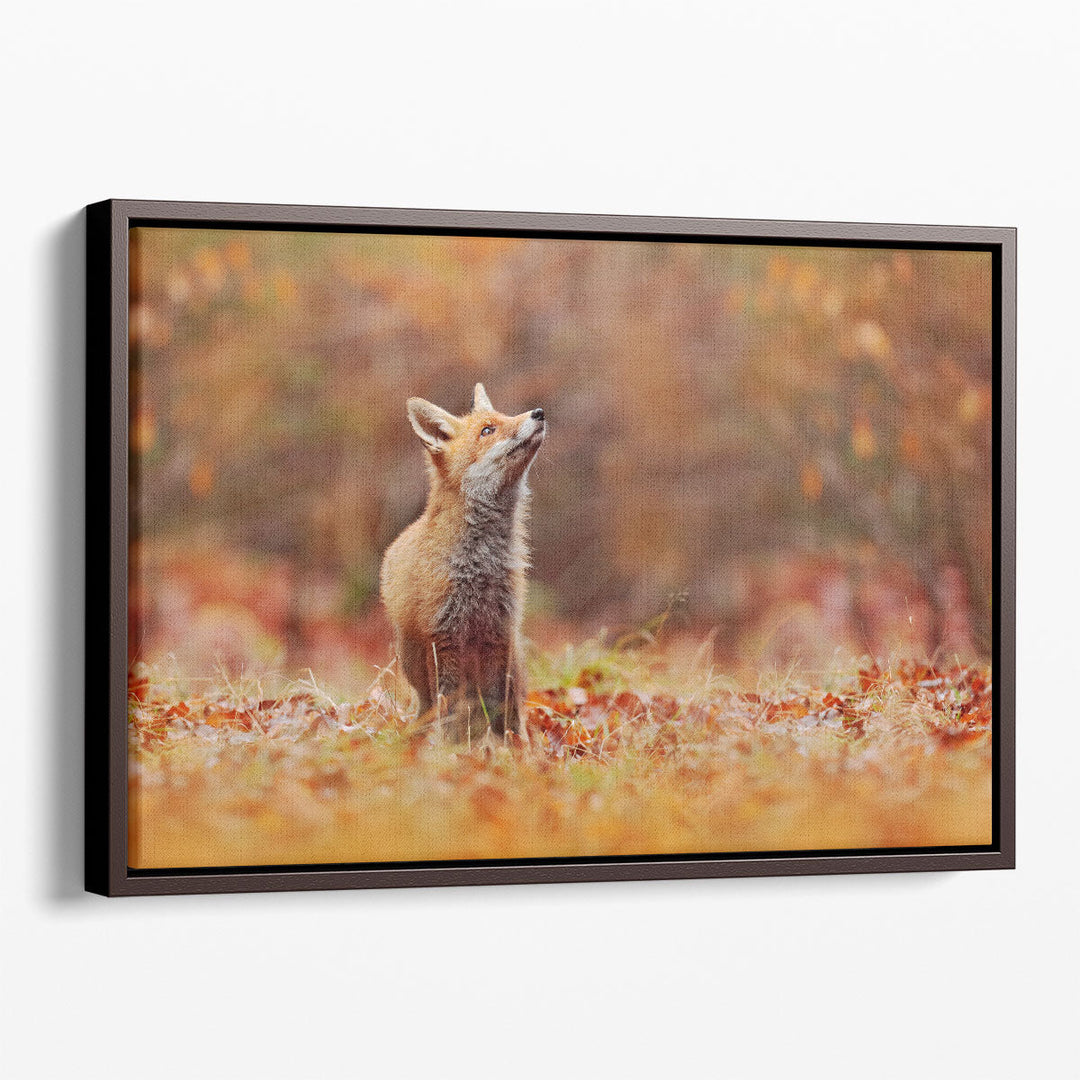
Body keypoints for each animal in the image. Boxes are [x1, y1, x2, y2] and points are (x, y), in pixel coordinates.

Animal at [380, 383, 546, 744]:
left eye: (504, 416)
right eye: (487, 430)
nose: (539, 413)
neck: (480, 566)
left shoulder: (499, 633)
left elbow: (501, 709)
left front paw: (507, 749)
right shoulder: (443, 639)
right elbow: (450, 709)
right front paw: (450, 749)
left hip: (514, 658)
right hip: (413, 658)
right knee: (430, 705)